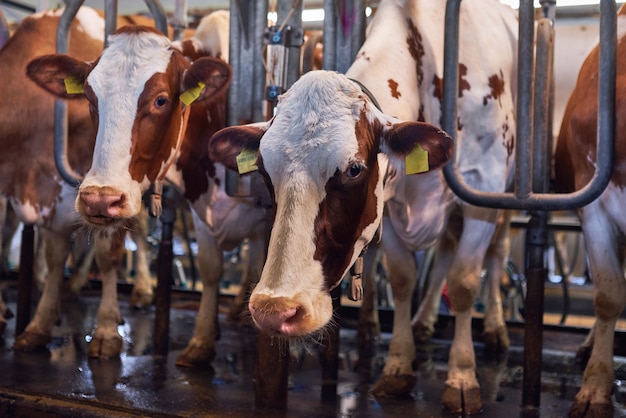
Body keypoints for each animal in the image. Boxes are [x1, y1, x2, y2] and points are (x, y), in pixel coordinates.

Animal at [25, 9, 270, 368]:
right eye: (89, 97)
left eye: (160, 100)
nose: (99, 199)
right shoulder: (201, 210)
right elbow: (210, 268)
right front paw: (201, 341)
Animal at [207, 0, 516, 414]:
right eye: (264, 170)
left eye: (354, 169)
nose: (275, 311)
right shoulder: (389, 206)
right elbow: (402, 279)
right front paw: (399, 366)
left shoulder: (484, 185)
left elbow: (465, 282)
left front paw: (462, 377)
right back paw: (422, 322)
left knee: (495, 255)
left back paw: (496, 328)